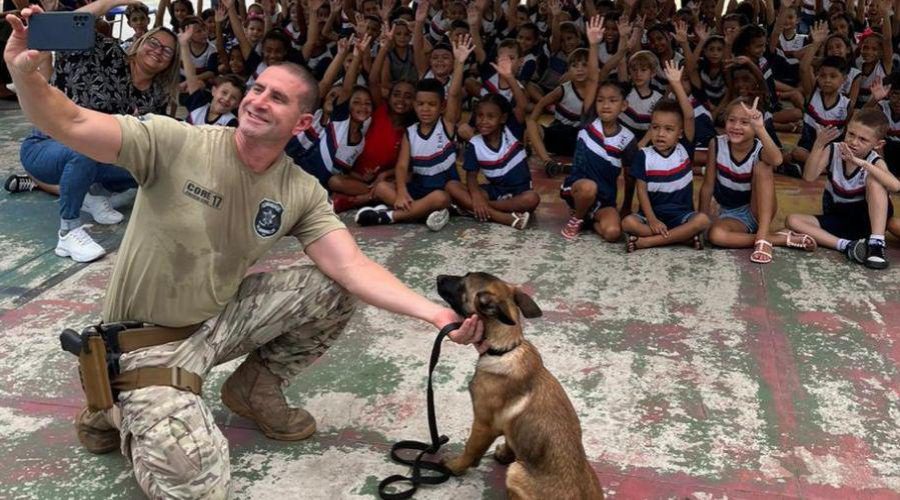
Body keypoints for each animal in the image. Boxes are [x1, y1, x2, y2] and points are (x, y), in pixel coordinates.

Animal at [436, 274, 604, 500]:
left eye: (462, 284)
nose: (438, 277)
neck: (504, 349)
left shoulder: (483, 424)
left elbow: (470, 450)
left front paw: (455, 466)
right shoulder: (506, 425)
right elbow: (510, 439)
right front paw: (505, 454)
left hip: (515, 472)